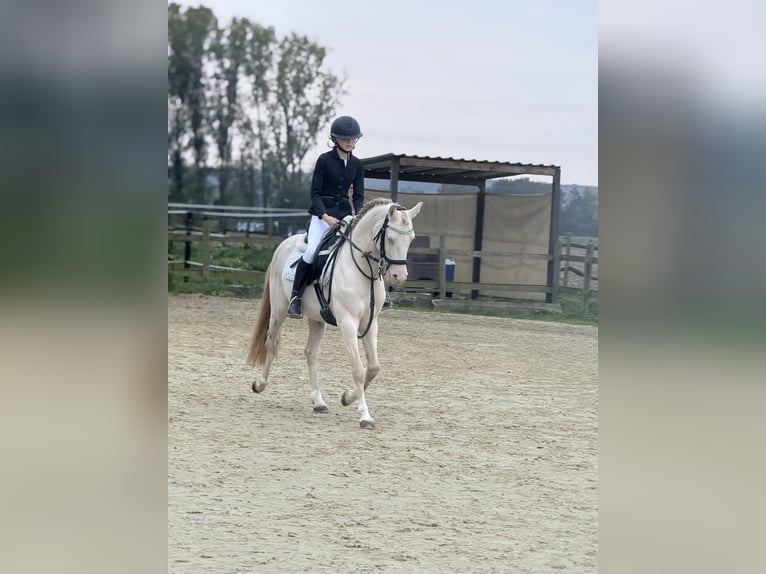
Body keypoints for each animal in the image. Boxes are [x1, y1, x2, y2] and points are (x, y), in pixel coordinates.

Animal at [247, 198, 423, 429]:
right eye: (391, 238)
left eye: (411, 239)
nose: (399, 276)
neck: (362, 269)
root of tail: (283, 245)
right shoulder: (348, 322)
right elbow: (358, 370)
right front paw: (364, 416)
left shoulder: (370, 323)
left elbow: (373, 368)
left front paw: (347, 397)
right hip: (279, 310)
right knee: (270, 342)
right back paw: (260, 384)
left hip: (316, 319)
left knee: (311, 353)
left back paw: (318, 402)